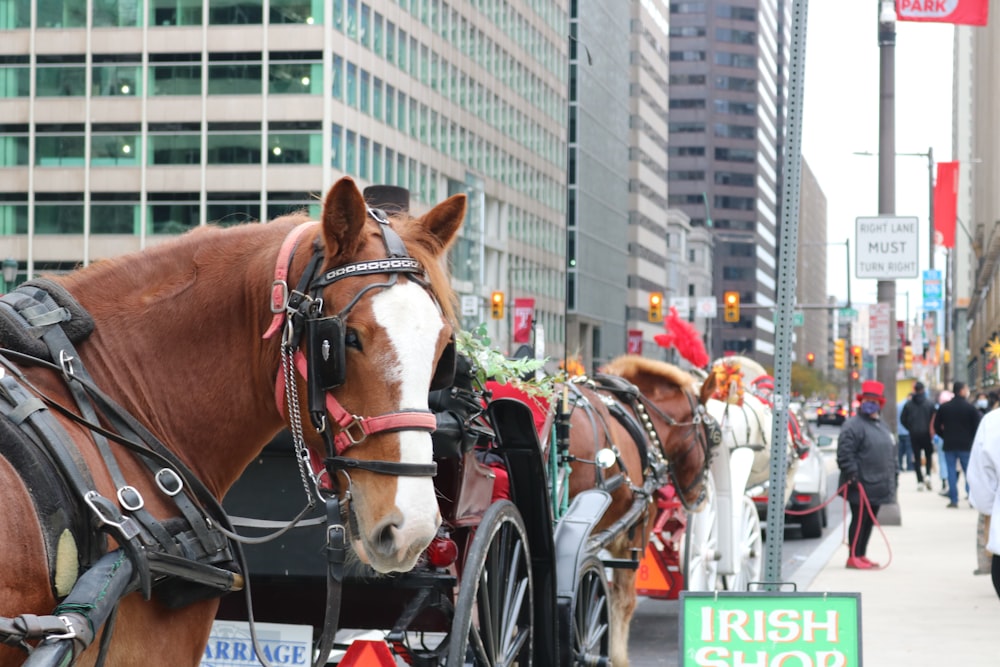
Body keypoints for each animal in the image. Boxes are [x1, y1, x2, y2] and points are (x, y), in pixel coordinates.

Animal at [564, 354, 712, 664]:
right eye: (711, 435)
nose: (701, 497)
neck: (643, 421)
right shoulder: (634, 534)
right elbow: (624, 601)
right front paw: (617, 658)